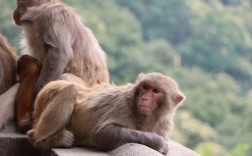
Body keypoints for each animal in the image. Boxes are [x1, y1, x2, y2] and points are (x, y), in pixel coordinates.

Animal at [28, 72, 185, 155]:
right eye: (145, 87)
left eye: (156, 91)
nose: (144, 98)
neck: (147, 117)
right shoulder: (124, 105)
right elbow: (103, 133)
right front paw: (158, 142)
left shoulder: (165, 125)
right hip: (45, 96)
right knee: (69, 90)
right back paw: (44, 140)